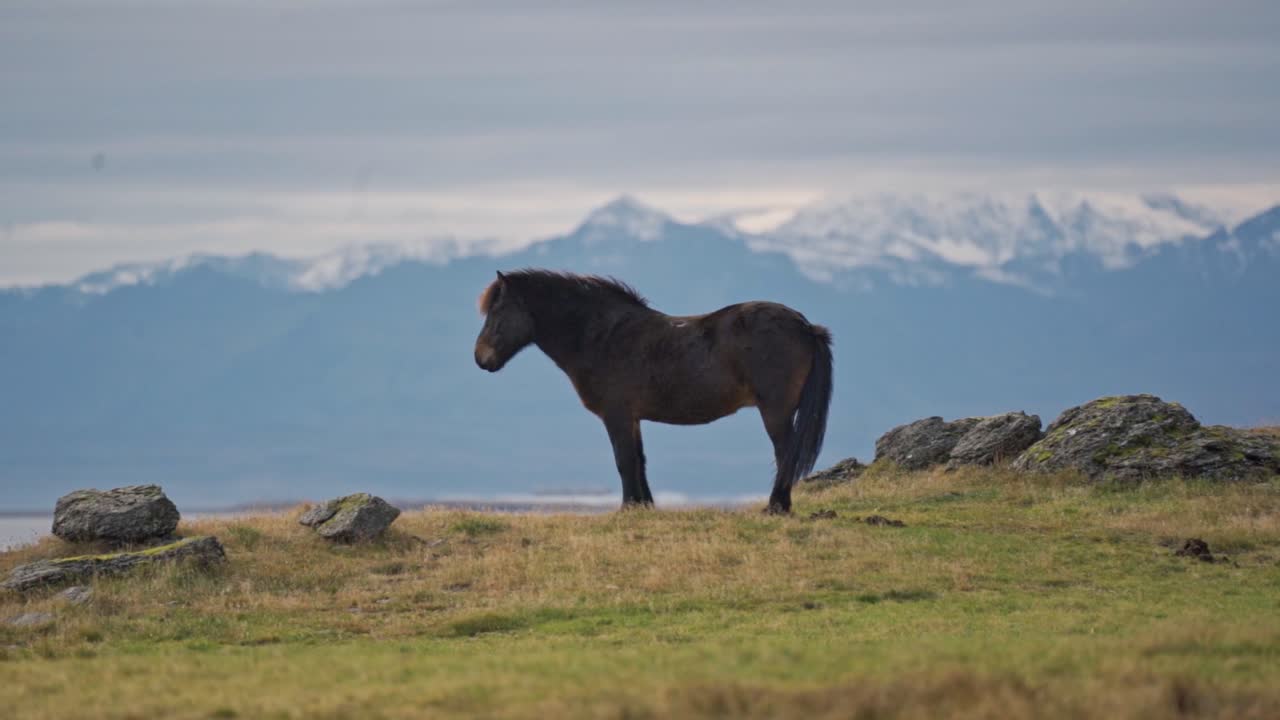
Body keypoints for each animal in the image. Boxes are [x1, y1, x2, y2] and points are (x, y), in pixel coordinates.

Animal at [473, 269, 833, 514]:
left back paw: (776, 507)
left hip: (775, 410)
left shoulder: (616, 416)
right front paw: (643, 506)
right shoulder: (632, 418)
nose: (480, 357)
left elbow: (624, 460)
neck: (603, 337)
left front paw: (626, 508)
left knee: (785, 453)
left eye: (497, 311)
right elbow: (639, 460)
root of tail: (805, 325)